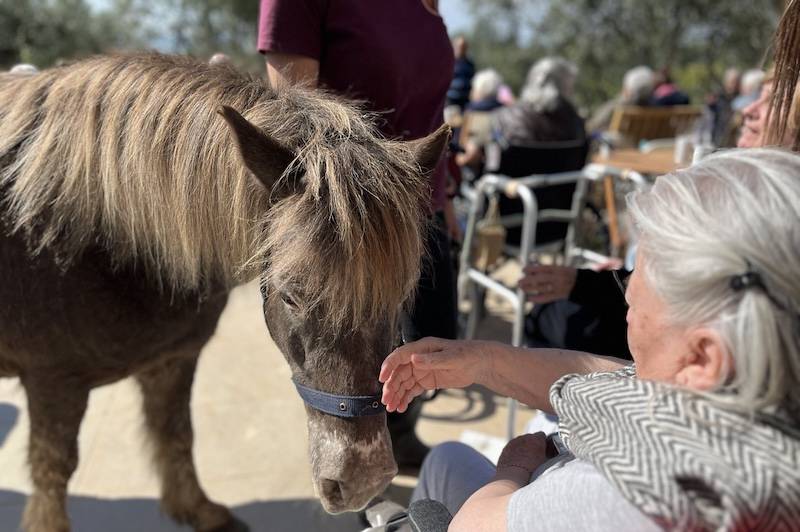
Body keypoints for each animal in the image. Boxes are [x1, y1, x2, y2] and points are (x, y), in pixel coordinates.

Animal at [0, 54, 450, 532]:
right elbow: (54, 468)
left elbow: (177, 434)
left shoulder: (172, 359)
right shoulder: (52, 381)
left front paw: (199, 510)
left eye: (400, 295)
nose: (364, 481)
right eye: (290, 296)